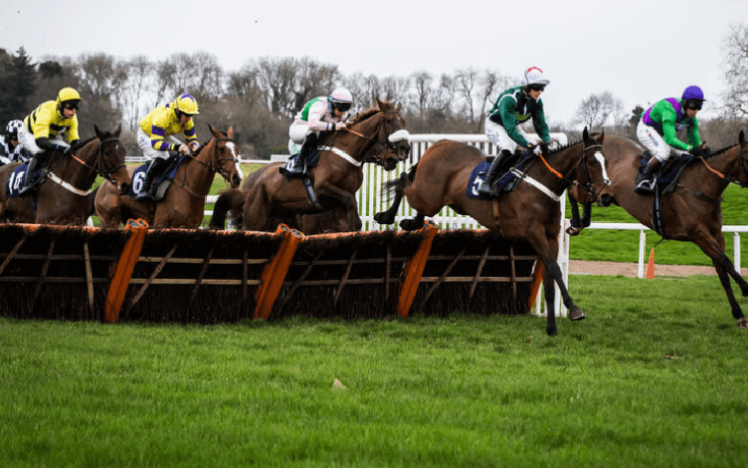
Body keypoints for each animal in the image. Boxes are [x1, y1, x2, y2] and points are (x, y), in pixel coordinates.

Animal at [95, 123, 243, 228]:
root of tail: (105, 183)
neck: (189, 187)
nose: (237, 177)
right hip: (109, 220)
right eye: (221, 149)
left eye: (237, 149)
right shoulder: (161, 224)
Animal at [209, 98, 410, 233]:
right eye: (389, 122)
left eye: (403, 122)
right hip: (256, 219)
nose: (394, 157)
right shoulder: (322, 192)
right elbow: (350, 206)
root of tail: (250, 185)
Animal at [374, 129, 612, 336]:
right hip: (428, 195)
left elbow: (552, 273)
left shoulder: (551, 235)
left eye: (607, 161)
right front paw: (573, 310)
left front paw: (558, 321)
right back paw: (386, 216)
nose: (606, 195)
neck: (542, 182)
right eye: (592, 162)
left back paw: (409, 222)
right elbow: (553, 267)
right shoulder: (533, 232)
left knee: (412, 198)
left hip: (430, 199)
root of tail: (435, 146)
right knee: (403, 182)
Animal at [568, 132, 748, 330]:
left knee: (582, 194)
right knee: (572, 189)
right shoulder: (698, 234)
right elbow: (727, 262)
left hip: (601, 192)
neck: (701, 185)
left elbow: (723, 271)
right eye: (747, 159)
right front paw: (746, 290)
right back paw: (576, 221)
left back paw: (583, 220)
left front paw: (739, 315)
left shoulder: (716, 233)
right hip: (592, 182)